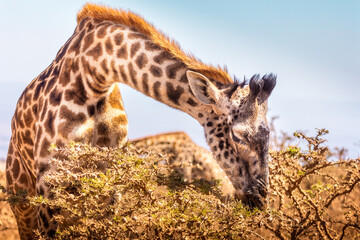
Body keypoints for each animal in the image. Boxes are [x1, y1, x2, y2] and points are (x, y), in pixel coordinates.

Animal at [4, 3, 276, 238]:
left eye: (269, 135)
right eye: (238, 136)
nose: (260, 201)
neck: (95, 76)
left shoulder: (112, 183)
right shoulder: (49, 184)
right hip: (22, 197)